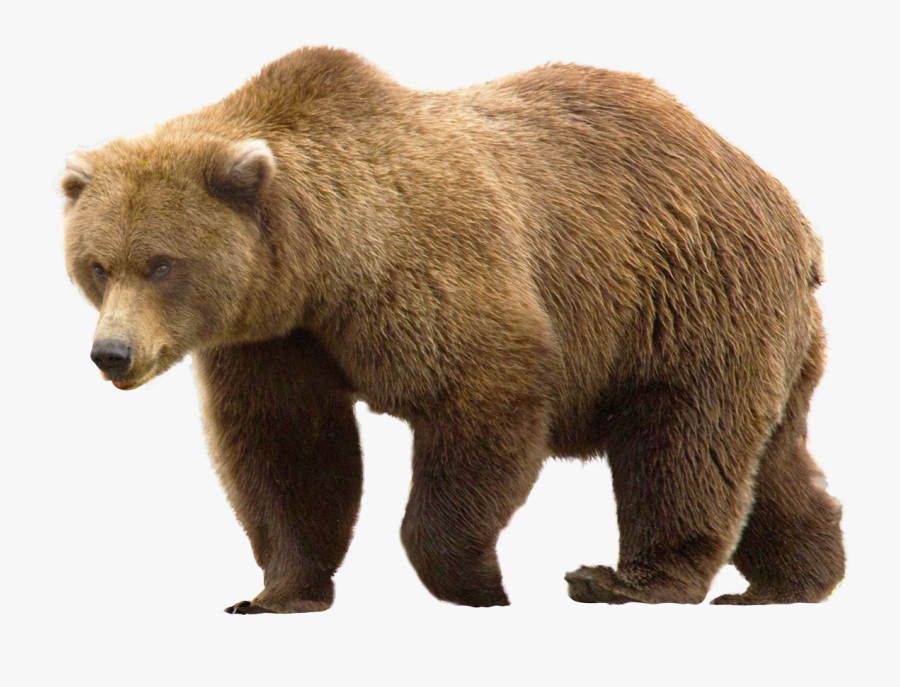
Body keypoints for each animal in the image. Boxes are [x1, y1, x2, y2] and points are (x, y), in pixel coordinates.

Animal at [61, 47, 845, 613]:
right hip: (764, 331)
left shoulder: (429, 271)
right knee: (772, 458)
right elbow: (287, 449)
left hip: (687, 297)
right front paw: (276, 592)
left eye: (162, 263)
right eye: (97, 265)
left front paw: (480, 583)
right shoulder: (275, 339)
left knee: (683, 442)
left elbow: (485, 393)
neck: (321, 268)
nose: (111, 353)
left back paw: (627, 580)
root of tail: (786, 207)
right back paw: (791, 580)